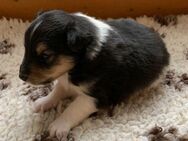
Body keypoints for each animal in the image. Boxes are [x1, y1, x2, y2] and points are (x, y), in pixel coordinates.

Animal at [18, 9, 169, 140]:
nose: (21, 76)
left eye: (45, 55)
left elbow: (73, 108)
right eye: (25, 48)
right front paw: (43, 102)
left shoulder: (95, 96)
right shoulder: (65, 81)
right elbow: (58, 91)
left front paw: (58, 126)